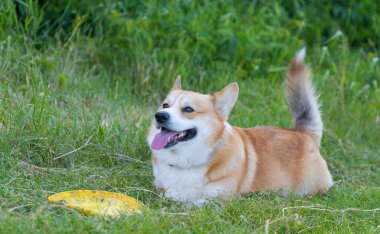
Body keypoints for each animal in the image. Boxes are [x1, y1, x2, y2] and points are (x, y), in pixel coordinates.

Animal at [147, 48, 332, 204]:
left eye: (188, 109)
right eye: (165, 105)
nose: (160, 116)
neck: (184, 161)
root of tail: (303, 132)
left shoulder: (220, 199)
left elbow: (195, 202)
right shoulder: (161, 189)